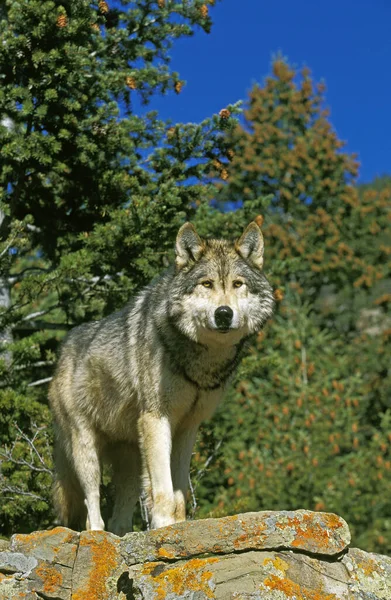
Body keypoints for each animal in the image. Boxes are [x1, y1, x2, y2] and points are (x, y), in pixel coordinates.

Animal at [49, 221, 274, 536]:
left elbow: (180, 490)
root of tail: (61, 353)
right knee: (91, 508)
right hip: (86, 451)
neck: (199, 359)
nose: (224, 314)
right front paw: (165, 525)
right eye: (207, 284)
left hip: (130, 461)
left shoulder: (188, 427)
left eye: (237, 284)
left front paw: (178, 524)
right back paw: (97, 537)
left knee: (120, 515)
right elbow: (165, 489)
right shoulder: (157, 418)